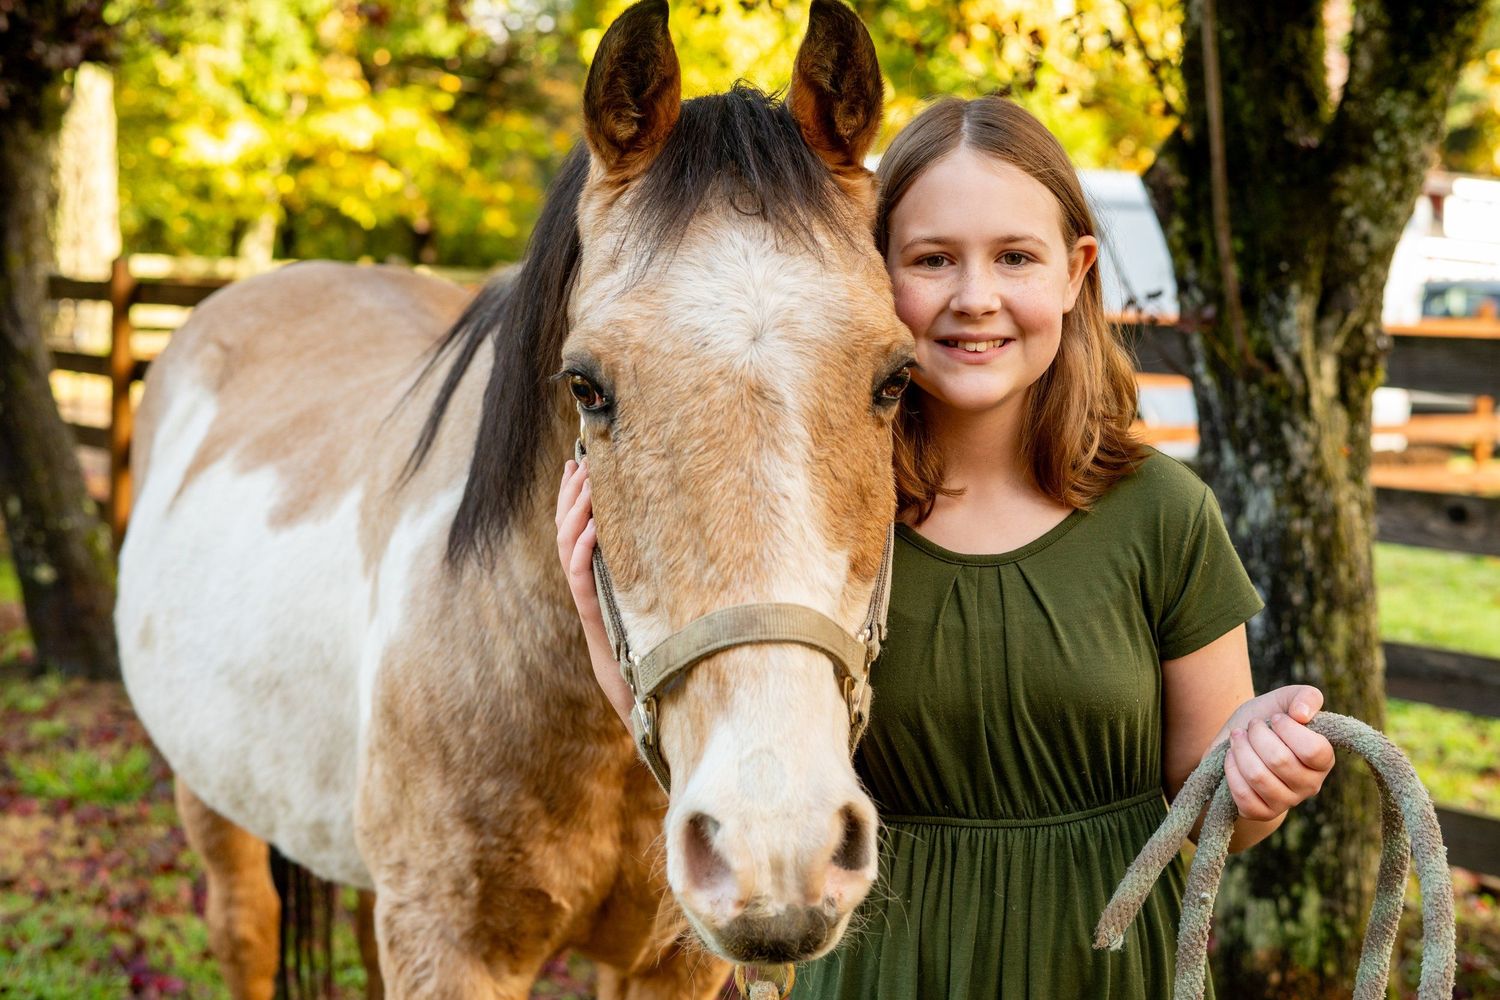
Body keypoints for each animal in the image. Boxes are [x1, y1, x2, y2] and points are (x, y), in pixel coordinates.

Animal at [116, 1, 913, 996]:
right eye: (586, 386)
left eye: (896, 379)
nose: (775, 842)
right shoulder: (449, 948)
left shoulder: (671, 964)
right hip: (211, 800)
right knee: (245, 931)